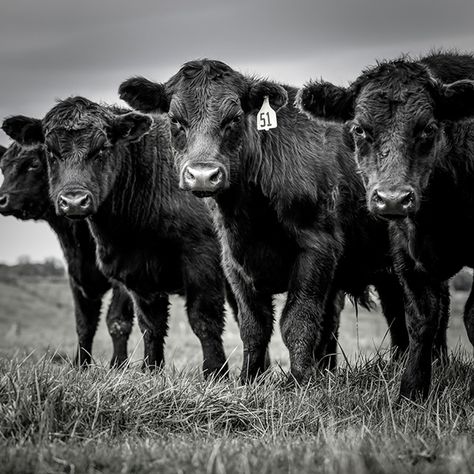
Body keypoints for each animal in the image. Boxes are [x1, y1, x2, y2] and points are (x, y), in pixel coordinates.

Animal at [0, 139, 134, 364]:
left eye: (34, 164)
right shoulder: (76, 275)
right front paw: (81, 364)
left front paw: (118, 365)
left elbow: (117, 321)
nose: (2, 200)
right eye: (2, 167)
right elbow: (84, 324)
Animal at [118, 60, 412, 386]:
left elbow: (297, 320)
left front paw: (300, 380)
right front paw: (249, 378)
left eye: (233, 119)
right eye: (175, 120)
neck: (252, 215)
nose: (203, 175)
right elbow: (253, 327)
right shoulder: (234, 262)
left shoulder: (317, 248)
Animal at [300, 52, 474, 400]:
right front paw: (412, 391)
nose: (393, 199)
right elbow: (421, 319)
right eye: (358, 129)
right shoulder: (407, 256)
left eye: (428, 128)